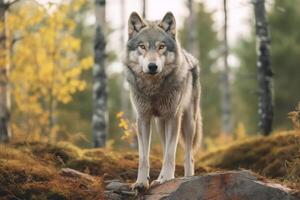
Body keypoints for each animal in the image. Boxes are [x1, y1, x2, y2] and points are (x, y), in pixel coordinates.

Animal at [123, 11, 203, 191]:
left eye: (161, 46)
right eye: (142, 46)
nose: (152, 66)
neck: (153, 89)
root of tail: (189, 56)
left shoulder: (173, 117)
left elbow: (170, 154)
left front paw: (167, 178)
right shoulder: (143, 119)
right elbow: (144, 157)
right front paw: (141, 182)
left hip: (188, 122)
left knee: (188, 155)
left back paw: (185, 177)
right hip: (160, 124)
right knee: (166, 146)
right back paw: (158, 179)